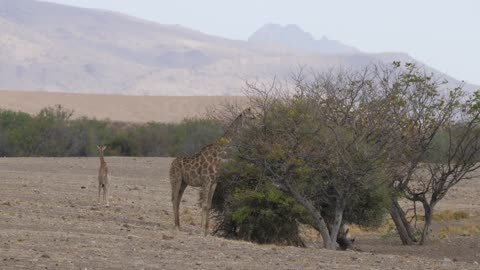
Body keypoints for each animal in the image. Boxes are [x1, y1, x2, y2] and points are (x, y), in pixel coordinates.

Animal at [171, 108, 256, 236]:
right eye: (251, 117)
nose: (256, 123)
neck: (220, 153)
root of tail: (171, 164)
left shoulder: (214, 182)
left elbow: (209, 205)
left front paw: (206, 231)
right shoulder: (206, 181)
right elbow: (204, 204)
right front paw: (201, 230)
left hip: (184, 183)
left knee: (178, 201)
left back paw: (179, 226)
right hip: (176, 179)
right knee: (174, 199)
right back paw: (176, 227)